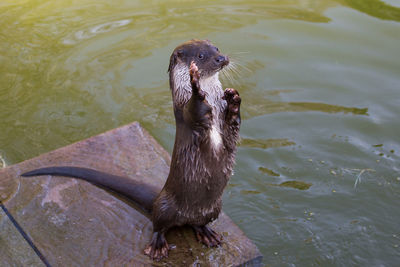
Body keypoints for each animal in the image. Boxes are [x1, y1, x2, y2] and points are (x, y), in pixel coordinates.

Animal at [22, 39, 241, 262]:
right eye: (201, 56)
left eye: (216, 49)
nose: (221, 58)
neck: (212, 103)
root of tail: (158, 198)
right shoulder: (186, 113)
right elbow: (195, 108)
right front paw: (196, 85)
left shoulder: (225, 126)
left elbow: (233, 124)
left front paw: (234, 99)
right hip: (165, 208)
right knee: (159, 226)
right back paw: (157, 247)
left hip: (214, 209)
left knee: (197, 223)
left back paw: (208, 234)